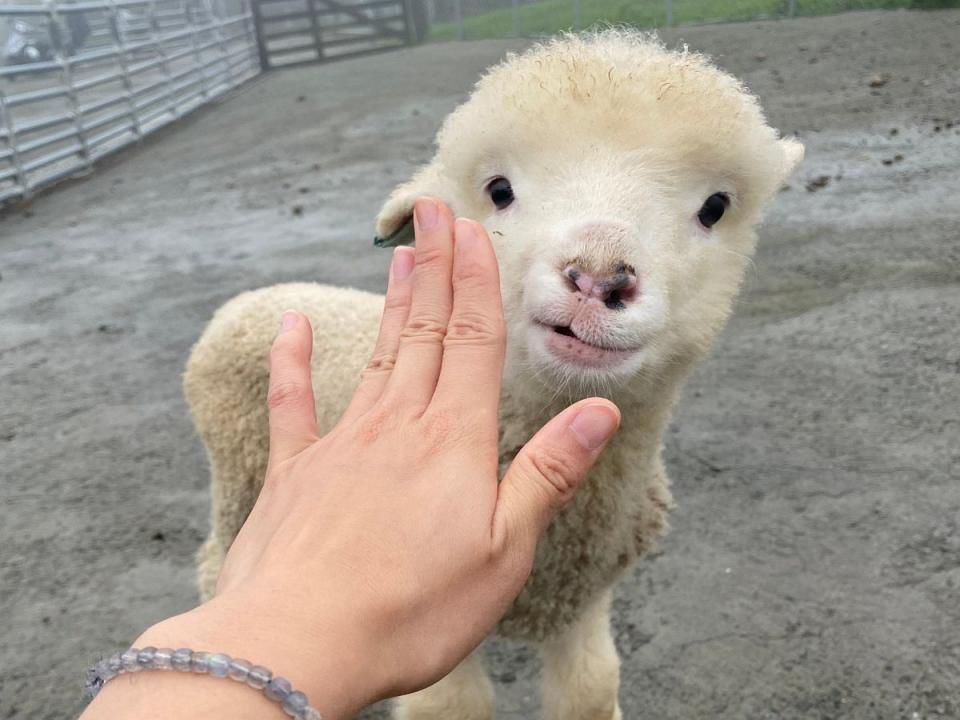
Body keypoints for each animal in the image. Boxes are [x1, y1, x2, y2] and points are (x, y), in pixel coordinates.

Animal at [184, 32, 800, 720]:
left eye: (715, 207)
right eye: (499, 190)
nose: (598, 275)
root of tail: (250, 299)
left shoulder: (583, 599)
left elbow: (590, 691)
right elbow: (454, 708)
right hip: (240, 479)